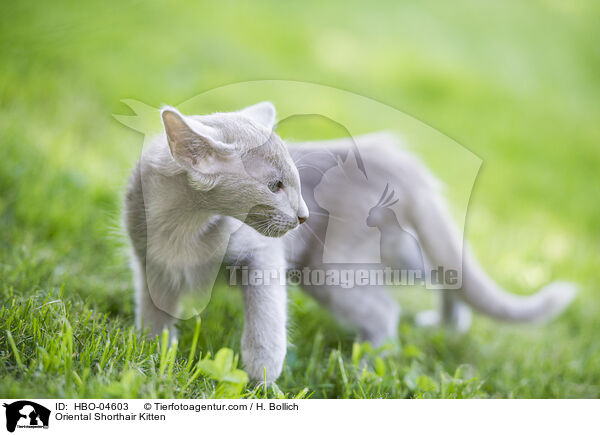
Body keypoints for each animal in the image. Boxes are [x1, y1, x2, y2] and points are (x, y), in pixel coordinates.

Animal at [123, 101, 576, 382]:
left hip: (330, 269)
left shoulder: (262, 257)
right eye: (274, 186)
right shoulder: (150, 263)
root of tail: (398, 162)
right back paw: (446, 325)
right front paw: (151, 357)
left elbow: (266, 324)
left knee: (386, 309)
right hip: (396, 251)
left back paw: (366, 366)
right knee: (442, 271)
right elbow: (154, 315)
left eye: (296, 183)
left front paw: (262, 379)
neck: (185, 226)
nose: (304, 216)